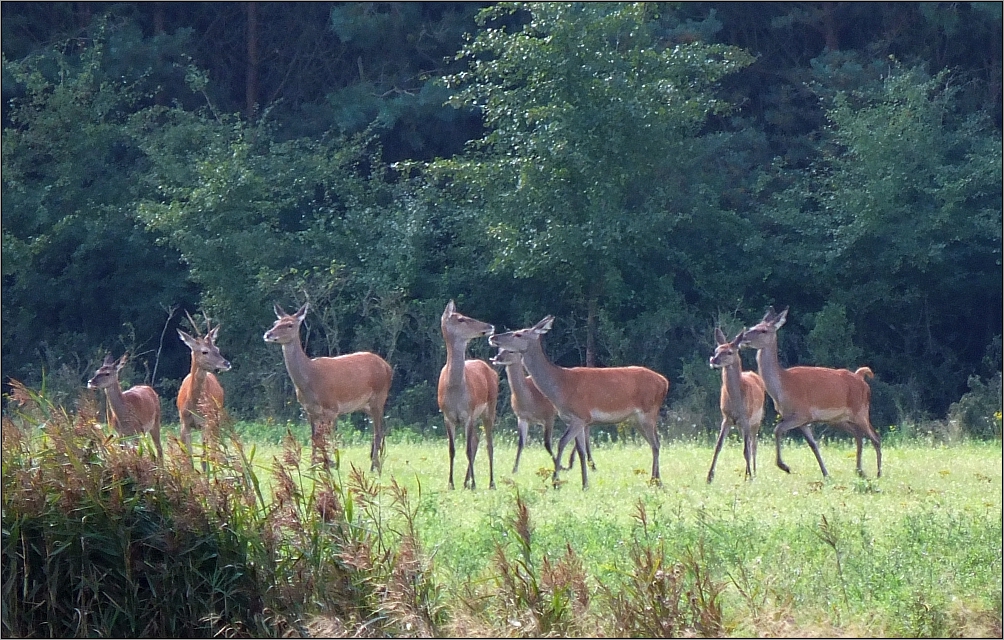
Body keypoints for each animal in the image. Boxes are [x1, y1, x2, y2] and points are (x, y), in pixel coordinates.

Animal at [177, 311, 231, 466]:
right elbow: (188, 457)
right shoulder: (184, 422)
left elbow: (204, 457)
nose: (227, 363)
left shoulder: (207, 422)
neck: (194, 403)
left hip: (216, 418)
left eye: (217, 349)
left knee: (213, 449)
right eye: (204, 351)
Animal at [263, 299, 391, 470]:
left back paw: (374, 467)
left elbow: (326, 439)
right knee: (380, 430)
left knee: (378, 431)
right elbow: (314, 439)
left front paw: (329, 465)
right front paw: (313, 467)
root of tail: (387, 367)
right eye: (276, 322)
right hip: (366, 405)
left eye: (290, 324)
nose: (268, 334)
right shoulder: (310, 410)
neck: (310, 380)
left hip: (379, 397)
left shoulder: (331, 408)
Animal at [439, 299, 501, 488]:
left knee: (488, 444)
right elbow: (451, 450)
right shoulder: (447, 416)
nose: (490, 325)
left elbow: (466, 449)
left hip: (490, 407)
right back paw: (466, 481)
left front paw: (474, 484)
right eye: (461, 319)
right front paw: (451, 484)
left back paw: (490, 482)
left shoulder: (469, 413)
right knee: (476, 440)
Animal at [491, 315, 670, 488]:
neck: (561, 387)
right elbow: (581, 451)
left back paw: (655, 481)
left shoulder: (580, 415)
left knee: (655, 444)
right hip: (636, 419)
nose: (493, 337)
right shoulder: (575, 420)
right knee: (655, 443)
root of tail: (664, 382)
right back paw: (657, 480)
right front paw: (585, 484)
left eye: (518, 334)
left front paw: (556, 482)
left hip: (648, 412)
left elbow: (561, 443)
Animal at [738, 307, 879, 476]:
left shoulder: (802, 413)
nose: (743, 338)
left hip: (861, 411)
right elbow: (813, 444)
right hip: (839, 419)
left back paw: (878, 473)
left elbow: (777, 430)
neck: (782, 387)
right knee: (859, 435)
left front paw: (784, 466)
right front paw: (825, 473)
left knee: (875, 437)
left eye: (763, 330)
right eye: (754, 326)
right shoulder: (803, 421)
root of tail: (861, 378)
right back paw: (859, 470)